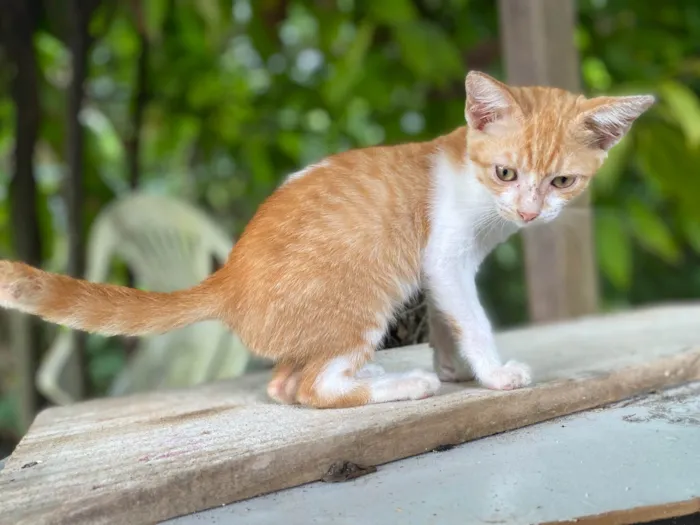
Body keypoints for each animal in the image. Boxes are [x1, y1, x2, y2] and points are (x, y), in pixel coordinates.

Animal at [1, 71, 656, 408]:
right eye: (506, 173)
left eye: (562, 182)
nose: (527, 211)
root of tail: (227, 277)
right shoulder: (445, 257)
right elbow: (470, 316)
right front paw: (492, 374)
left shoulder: (444, 270)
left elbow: (449, 320)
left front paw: (455, 368)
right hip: (362, 297)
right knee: (304, 389)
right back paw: (402, 385)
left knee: (283, 384)